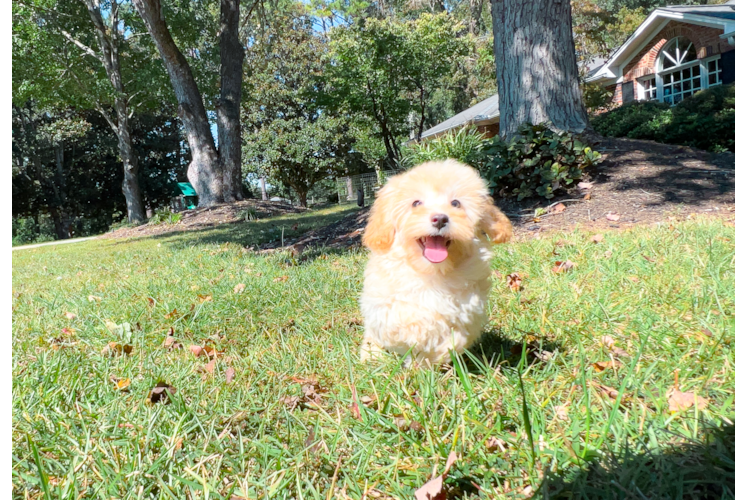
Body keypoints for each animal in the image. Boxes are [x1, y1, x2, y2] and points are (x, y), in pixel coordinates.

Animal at [358, 161, 512, 368]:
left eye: (455, 203)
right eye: (416, 203)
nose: (440, 218)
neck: (433, 270)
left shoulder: (469, 307)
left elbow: (458, 335)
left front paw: (439, 353)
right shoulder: (386, 305)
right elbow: (412, 321)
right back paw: (373, 357)